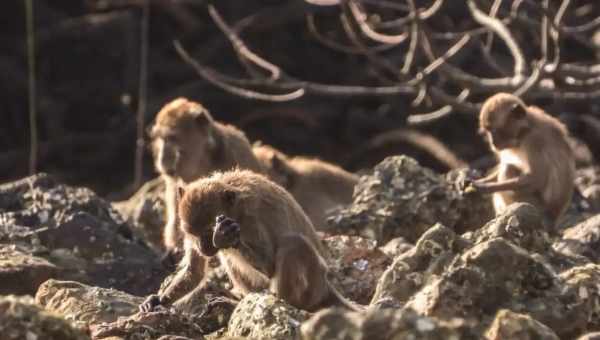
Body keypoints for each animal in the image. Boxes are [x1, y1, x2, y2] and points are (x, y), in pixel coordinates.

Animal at [139, 170, 356, 314]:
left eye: (208, 232)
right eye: (193, 234)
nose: (202, 247)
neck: (236, 209)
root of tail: (325, 285)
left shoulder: (252, 221)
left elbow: (269, 266)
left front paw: (224, 236)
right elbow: (195, 271)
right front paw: (158, 301)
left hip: (311, 285)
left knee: (293, 243)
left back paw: (287, 303)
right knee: (229, 257)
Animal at [472, 91, 576, 227]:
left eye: (495, 130)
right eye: (488, 131)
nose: (493, 143)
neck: (524, 131)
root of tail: (554, 218)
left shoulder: (535, 140)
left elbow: (536, 179)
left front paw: (487, 187)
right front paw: (479, 181)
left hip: (537, 208)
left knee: (508, 169)